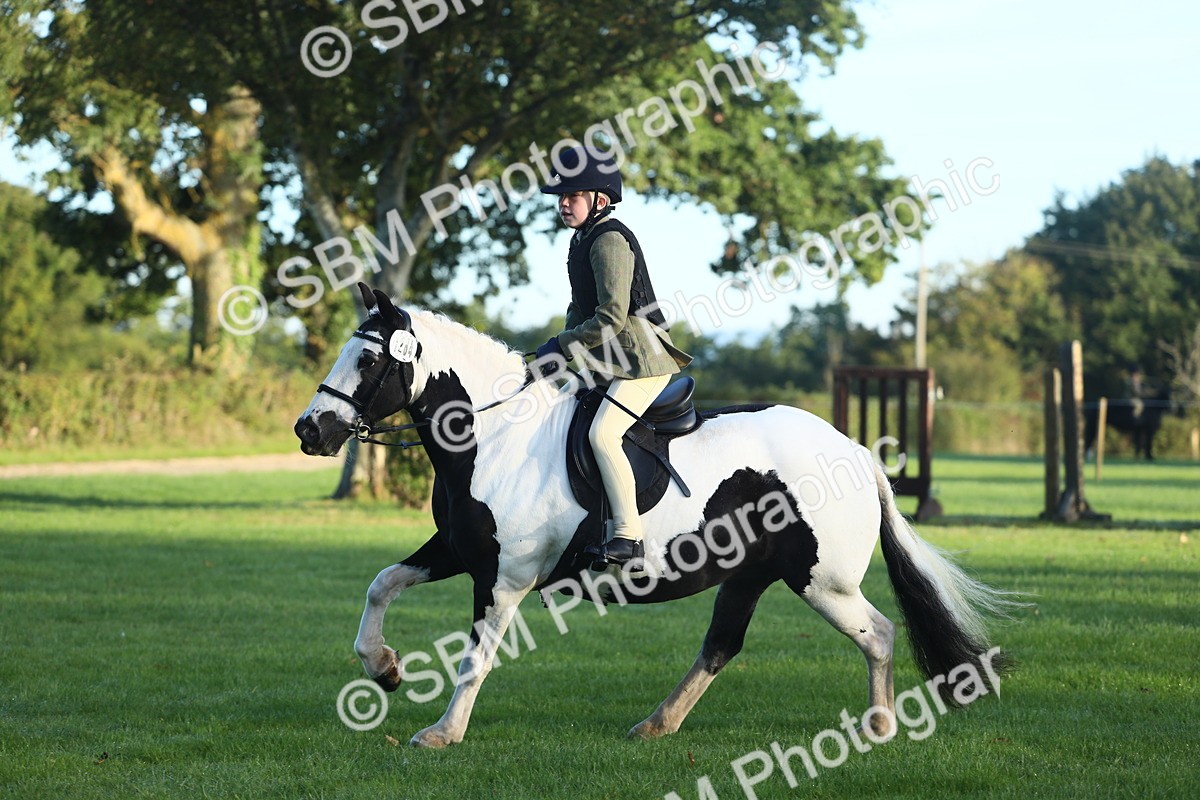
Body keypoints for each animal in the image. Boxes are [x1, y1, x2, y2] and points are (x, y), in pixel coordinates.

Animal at [294, 284, 1017, 748]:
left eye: (367, 358)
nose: (310, 430)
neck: (494, 435)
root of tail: (857, 453)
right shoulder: (458, 550)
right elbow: (381, 584)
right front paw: (383, 667)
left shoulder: (504, 576)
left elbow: (476, 655)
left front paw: (443, 732)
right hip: (751, 575)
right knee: (722, 644)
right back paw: (658, 724)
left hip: (822, 581)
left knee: (879, 634)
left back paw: (880, 727)